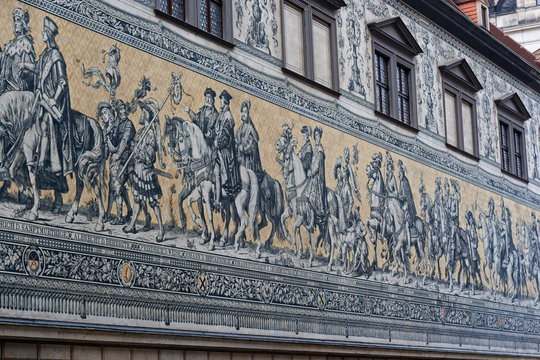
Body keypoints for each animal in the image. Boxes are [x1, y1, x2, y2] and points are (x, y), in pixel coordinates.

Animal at [0, 90, 105, 231]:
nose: (1, 160)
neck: (27, 117)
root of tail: (90, 121)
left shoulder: (29, 155)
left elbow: (33, 181)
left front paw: (34, 211)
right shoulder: (22, 152)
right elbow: (12, 171)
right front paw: (26, 193)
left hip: (83, 164)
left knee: (94, 187)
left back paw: (99, 222)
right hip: (80, 165)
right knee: (83, 186)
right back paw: (72, 215)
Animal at [162, 116, 262, 255]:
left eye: (180, 139)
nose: (184, 160)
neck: (202, 163)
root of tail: (249, 172)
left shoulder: (206, 193)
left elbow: (209, 216)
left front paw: (211, 242)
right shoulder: (198, 192)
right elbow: (189, 202)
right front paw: (197, 222)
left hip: (239, 203)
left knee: (244, 221)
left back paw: (237, 243)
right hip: (245, 204)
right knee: (253, 222)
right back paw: (257, 250)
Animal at [274, 131, 346, 268]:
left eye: (287, 158)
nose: (277, 144)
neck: (299, 187)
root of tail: (335, 196)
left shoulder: (301, 216)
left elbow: (296, 229)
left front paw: (297, 250)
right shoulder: (293, 212)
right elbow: (283, 219)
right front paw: (302, 252)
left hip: (330, 222)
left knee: (334, 241)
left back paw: (330, 264)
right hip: (324, 223)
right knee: (335, 239)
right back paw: (334, 259)